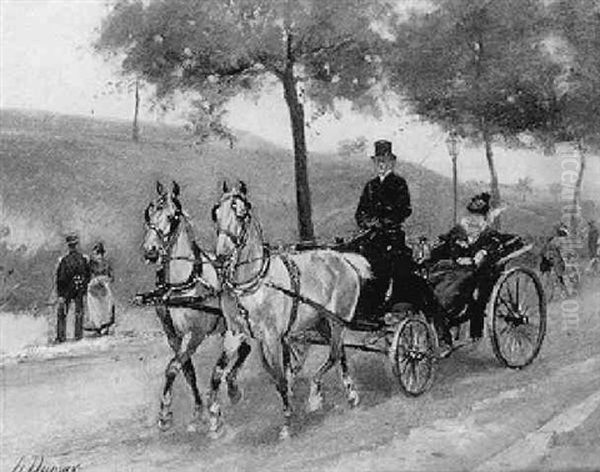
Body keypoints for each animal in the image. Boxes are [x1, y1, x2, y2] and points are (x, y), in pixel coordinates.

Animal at [143, 181, 251, 436]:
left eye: (172, 217)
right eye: (148, 213)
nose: (150, 251)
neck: (183, 282)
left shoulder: (196, 334)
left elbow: (173, 367)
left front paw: (165, 414)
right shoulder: (173, 336)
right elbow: (187, 371)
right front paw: (198, 411)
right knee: (244, 350)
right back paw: (232, 389)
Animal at [211, 181, 370, 438]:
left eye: (241, 213)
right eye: (216, 212)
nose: (221, 257)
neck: (251, 284)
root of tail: (343, 259)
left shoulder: (272, 338)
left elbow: (279, 378)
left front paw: (287, 422)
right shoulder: (234, 333)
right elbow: (216, 374)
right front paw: (216, 417)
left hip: (337, 321)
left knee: (334, 354)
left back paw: (315, 395)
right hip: (322, 322)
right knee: (340, 353)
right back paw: (351, 394)